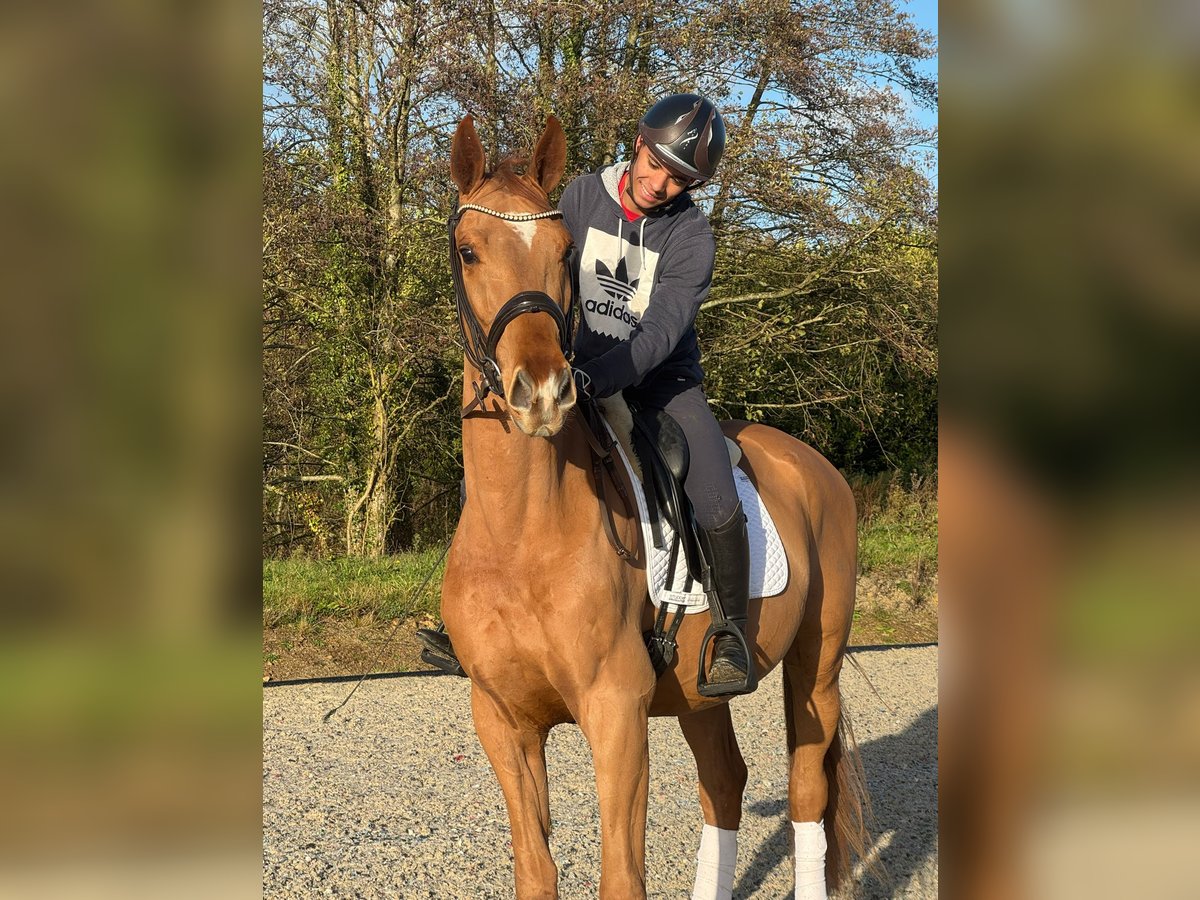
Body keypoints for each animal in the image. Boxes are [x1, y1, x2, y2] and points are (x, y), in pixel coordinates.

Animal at [439, 113, 871, 899]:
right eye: (469, 250)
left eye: (563, 253)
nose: (543, 392)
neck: (521, 534)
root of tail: (815, 465)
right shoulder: (503, 722)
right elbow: (536, 871)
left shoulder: (616, 712)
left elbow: (621, 876)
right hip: (701, 695)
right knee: (725, 782)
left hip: (814, 667)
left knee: (806, 791)